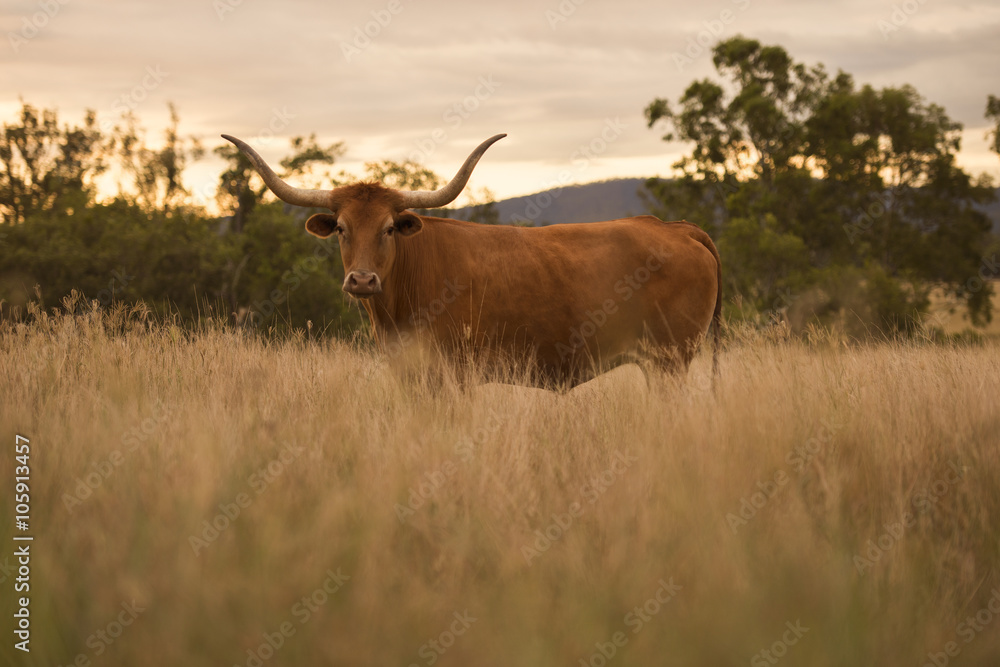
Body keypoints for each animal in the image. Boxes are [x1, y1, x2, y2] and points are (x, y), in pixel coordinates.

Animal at [221, 133, 720, 388]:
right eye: (341, 228)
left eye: (388, 228)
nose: (361, 281)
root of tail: (675, 227)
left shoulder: (455, 375)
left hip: (669, 361)